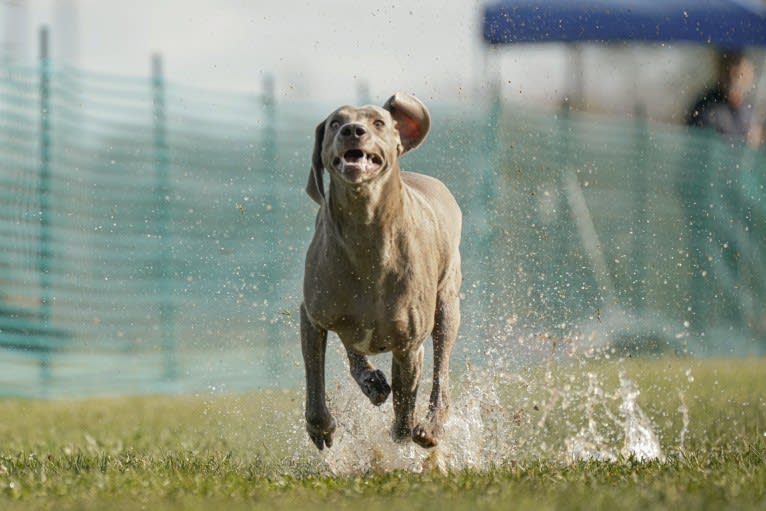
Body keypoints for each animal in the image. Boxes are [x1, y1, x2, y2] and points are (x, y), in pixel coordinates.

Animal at [304, 93, 462, 452]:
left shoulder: (409, 343)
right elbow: (314, 383)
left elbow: (405, 405)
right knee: (354, 347)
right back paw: (371, 381)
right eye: (334, 122)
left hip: (447, 306)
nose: (352, 130)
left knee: (440, 372)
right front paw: (321, 429)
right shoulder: (312, 317)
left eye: (378, 122)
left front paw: (404, 434)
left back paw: (431, 424)